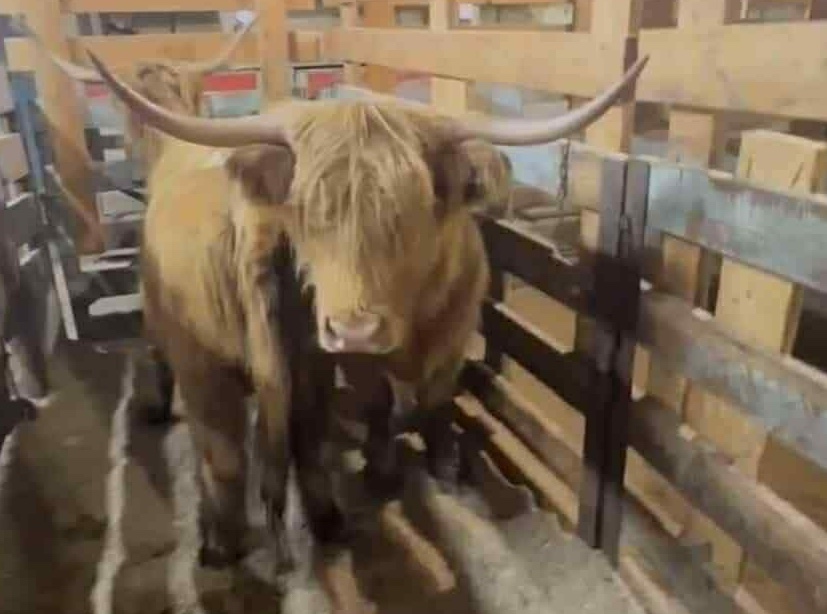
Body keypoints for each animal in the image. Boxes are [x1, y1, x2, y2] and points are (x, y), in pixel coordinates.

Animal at [84, 49, 649, 577]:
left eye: (413, 210)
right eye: (307, 215)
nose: (355, 328)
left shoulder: (453, 334)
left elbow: (438, 400)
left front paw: (445, 466)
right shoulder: (354, 358)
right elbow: (379, 403)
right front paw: (382, 469)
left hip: (253, 364)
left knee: (259, 445)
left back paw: (277, 532)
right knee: (241, 450)